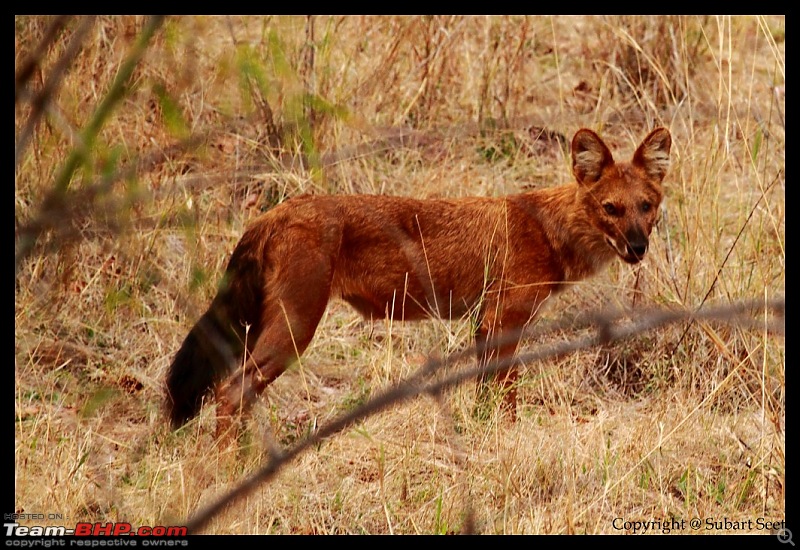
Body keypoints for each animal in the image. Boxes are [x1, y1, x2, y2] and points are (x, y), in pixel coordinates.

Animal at [166, 127, 672, 430]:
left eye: (646, 206)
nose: (638, 247)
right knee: (230, 392)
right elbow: (506, 394)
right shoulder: (502, 320)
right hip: (296, 325)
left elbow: (485, 393)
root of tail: (275, 211)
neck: (549, 229)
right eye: (611, 208)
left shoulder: (483, 324)